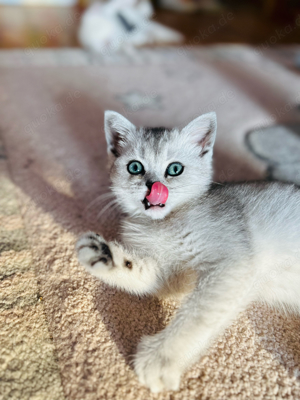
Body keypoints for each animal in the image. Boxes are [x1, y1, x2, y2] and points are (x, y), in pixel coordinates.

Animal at [76, 111, 300, 392]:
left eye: (174, 169)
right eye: (135, 167)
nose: (153, 185)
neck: (163, 224)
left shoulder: (232, 265)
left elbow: (197, 316)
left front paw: (159, 360)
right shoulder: (171, 279)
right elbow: (141, 274)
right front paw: (103, 253)